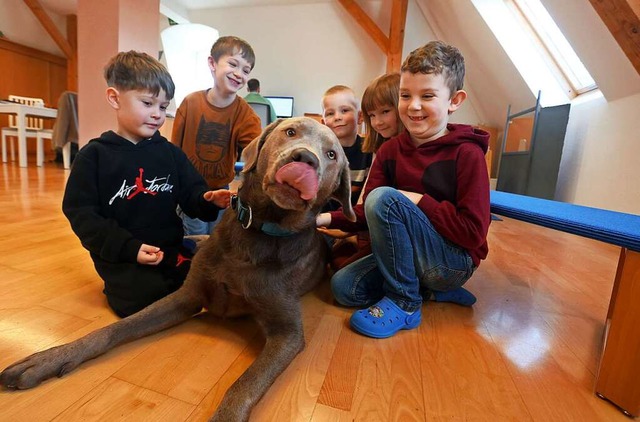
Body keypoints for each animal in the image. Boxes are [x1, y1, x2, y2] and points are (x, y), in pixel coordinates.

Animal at [0, 117, 358, 420]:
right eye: (290, 132)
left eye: (331, 154)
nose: (305, 159)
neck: (258, 231)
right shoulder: (186, 296)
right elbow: (114, 329)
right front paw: (51, 358)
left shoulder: (288, 333)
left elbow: (243, 386)